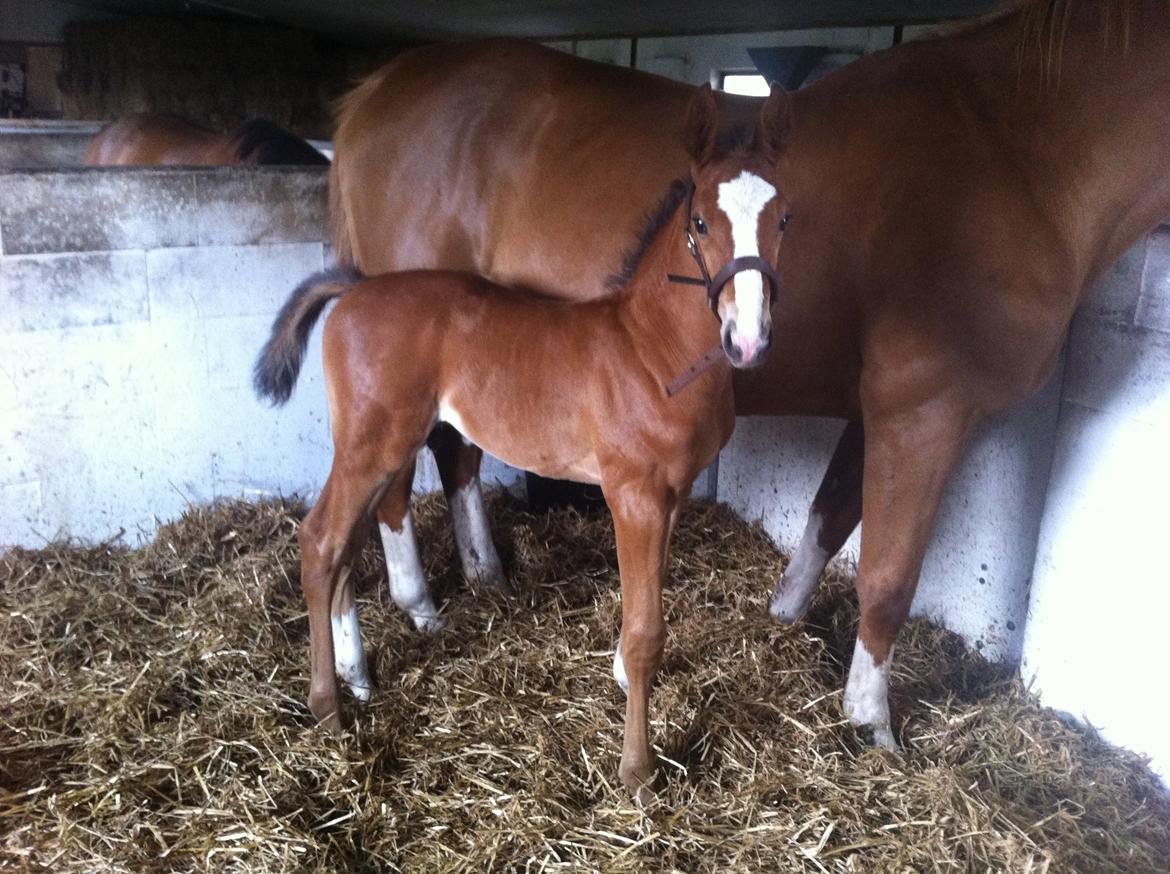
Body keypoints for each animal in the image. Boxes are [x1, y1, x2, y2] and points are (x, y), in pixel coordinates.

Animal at [252, 88, 790, 790]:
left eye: (784, 220)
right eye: (700, 222)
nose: (748, 339)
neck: (650, 348)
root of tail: (357, 287)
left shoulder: (671, 493)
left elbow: (644, 610)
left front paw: (620, 679)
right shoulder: (634, 495)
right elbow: (646, 632)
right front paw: (637, 769)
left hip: (374, 447)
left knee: (347, 540)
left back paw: (359, 678)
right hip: (375, 444)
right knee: (321, 540)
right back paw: (328, 706)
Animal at [327, 0, 1170, 753]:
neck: (1014, 148)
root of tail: (380, 89)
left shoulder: (875, 409)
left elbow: (829, 519)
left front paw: (784, 623)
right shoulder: (924, 407)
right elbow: (889, 578)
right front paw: (873, 723)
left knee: (455, 459)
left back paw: (483, 579)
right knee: (391, 492)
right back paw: (399, 623)